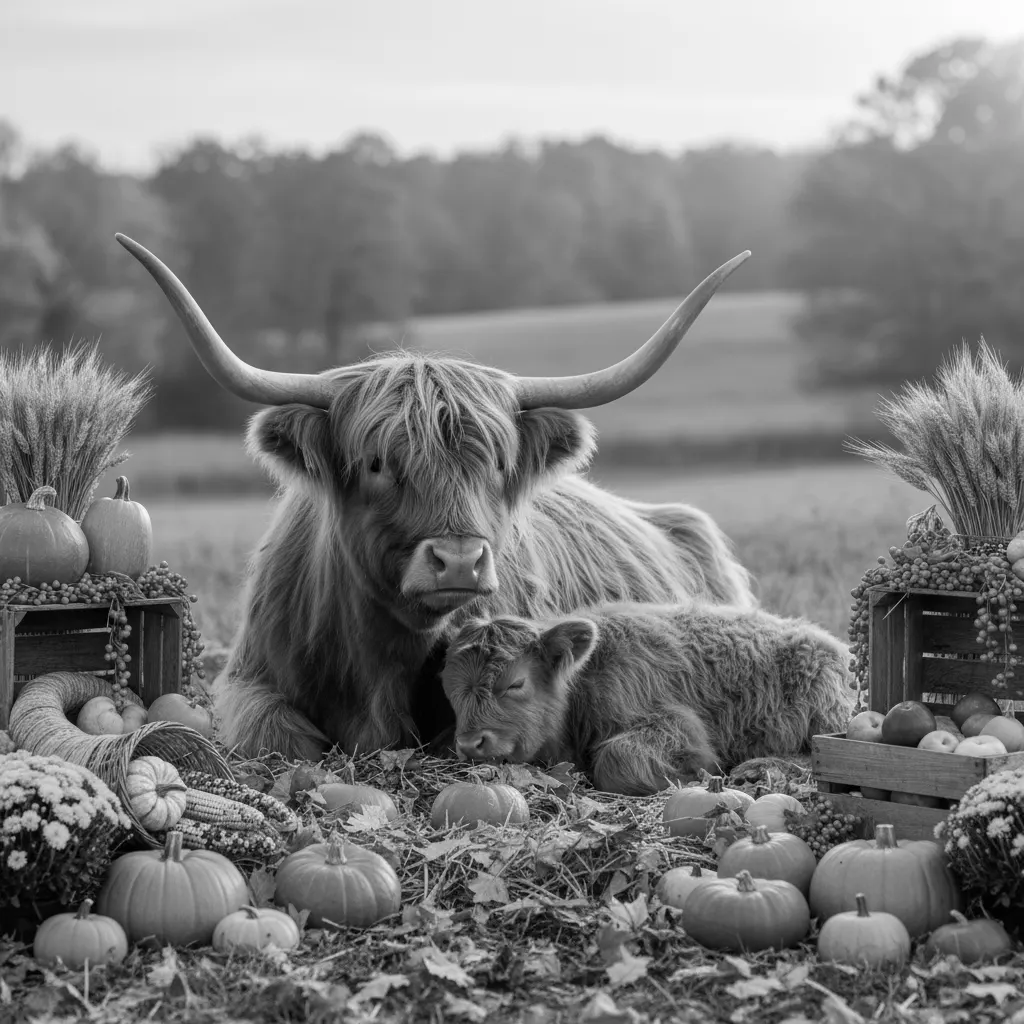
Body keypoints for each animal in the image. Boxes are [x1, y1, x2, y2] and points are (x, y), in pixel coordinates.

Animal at [441, 603, 853, 795]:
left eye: (515, 684)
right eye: (448, 688)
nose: (470, 743)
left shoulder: (677, 726)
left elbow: (615, 759)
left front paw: (692, 776)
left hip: (827, 703)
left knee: (821, 752)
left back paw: (759, 767)